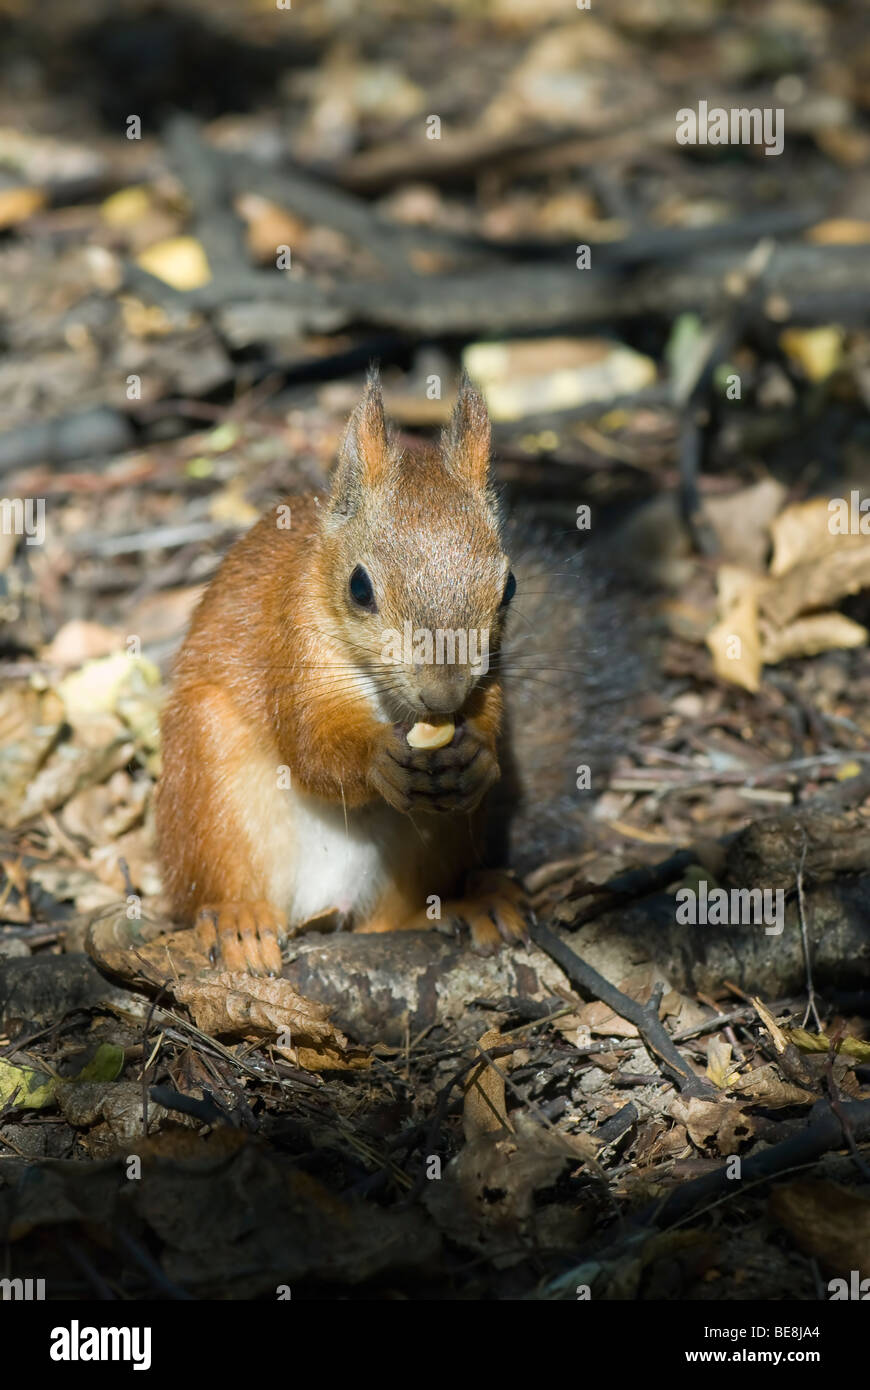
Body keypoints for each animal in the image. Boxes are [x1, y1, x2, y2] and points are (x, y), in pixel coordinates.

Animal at [154, 375, 644, 973]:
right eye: (359, 588)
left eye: (508, 587)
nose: (443, 696)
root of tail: (325, 905)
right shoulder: (288, 647)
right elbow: (310, 746)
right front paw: (376, 758)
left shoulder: (487, 679)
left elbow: (489, 725)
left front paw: (480, 756)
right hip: (209, 780)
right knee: (217, 879)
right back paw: (239, 920)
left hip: (437, 836)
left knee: (394, 915)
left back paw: (467, 904)